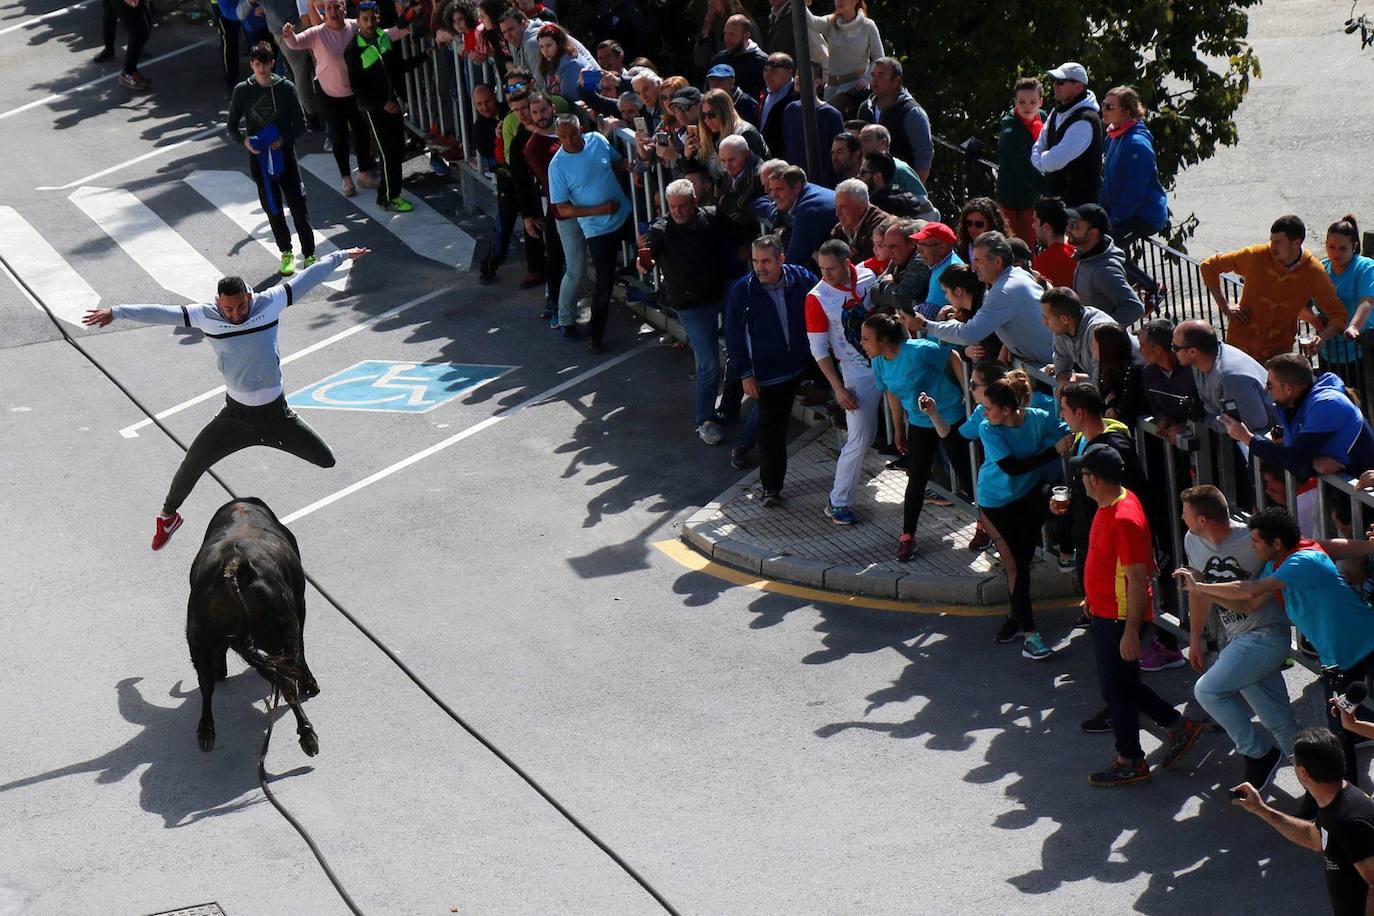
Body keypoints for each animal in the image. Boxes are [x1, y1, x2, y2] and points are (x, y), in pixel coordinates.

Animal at [188, 497, 321, 758]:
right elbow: (300, 652)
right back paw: (308, 737)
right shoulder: (299, 607)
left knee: (205, 684)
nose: (221, 672)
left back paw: (205, 732)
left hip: (197, 637)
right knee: (288, 683)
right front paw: (310, 685)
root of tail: (235, 564)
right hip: (283, 632)